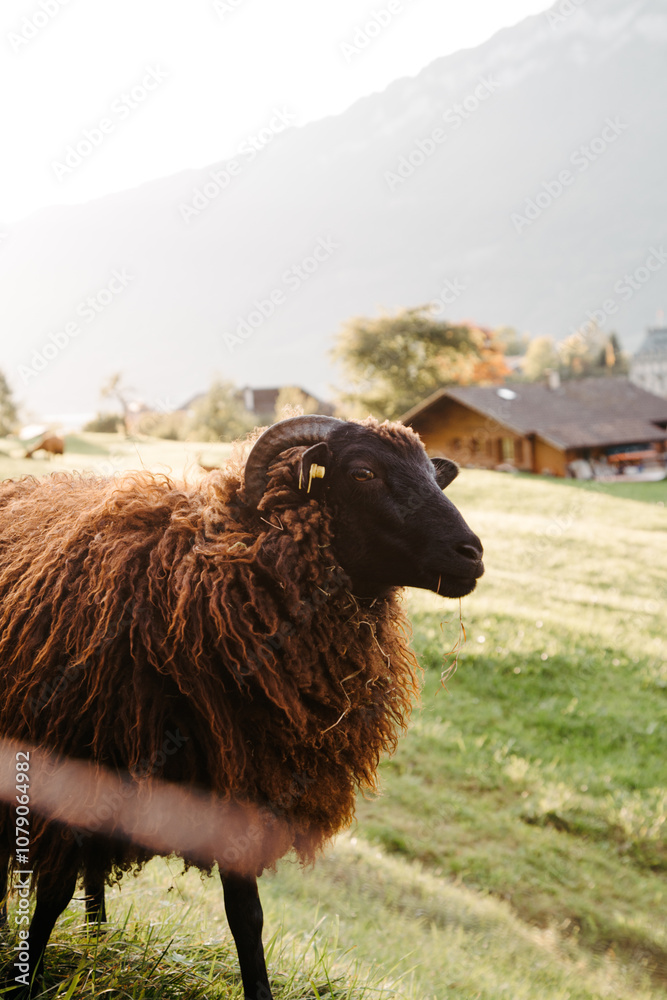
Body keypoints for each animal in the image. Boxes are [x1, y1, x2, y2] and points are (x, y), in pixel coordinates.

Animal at [0, 414, 483, 999]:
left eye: (435, 476)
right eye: (363, 472)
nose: (472, 554)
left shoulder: (240, 781)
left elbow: (246, 916)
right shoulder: (77, 766)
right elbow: (52, 892)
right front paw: (25, 982)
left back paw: (98, 941)